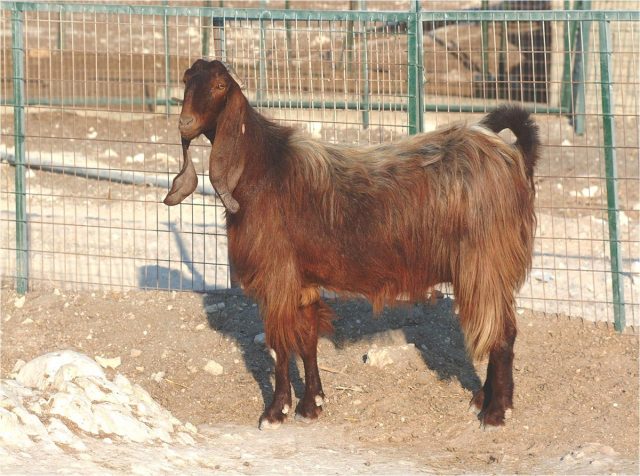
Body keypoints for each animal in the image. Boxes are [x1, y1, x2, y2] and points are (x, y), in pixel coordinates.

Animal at [164, 58, 540, 428]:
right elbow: (307, 339)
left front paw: (275, 411)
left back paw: (495, 412)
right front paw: (312, 404)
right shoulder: (302, 280)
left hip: (485, 262)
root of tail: (511, 157)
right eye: (185, 79)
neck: (264, 169)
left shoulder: (277, 276)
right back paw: (483, 398)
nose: (185, 123)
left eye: (219, 85)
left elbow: (280, 345)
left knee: (502, 332)